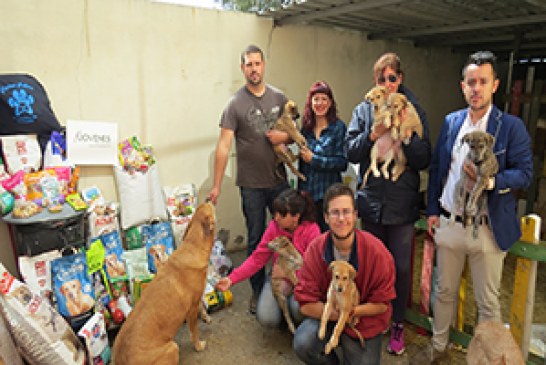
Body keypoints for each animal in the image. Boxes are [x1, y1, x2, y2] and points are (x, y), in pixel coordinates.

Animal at [112, 202, 215, 364]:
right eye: (208, 207)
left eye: (200, 207)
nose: (209, 199)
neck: (192, 247)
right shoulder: (191, 310)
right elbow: (194, 332)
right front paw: (198, 346)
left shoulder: (196, 298)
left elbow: (201, 307)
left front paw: (206, 317)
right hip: (173, 347)